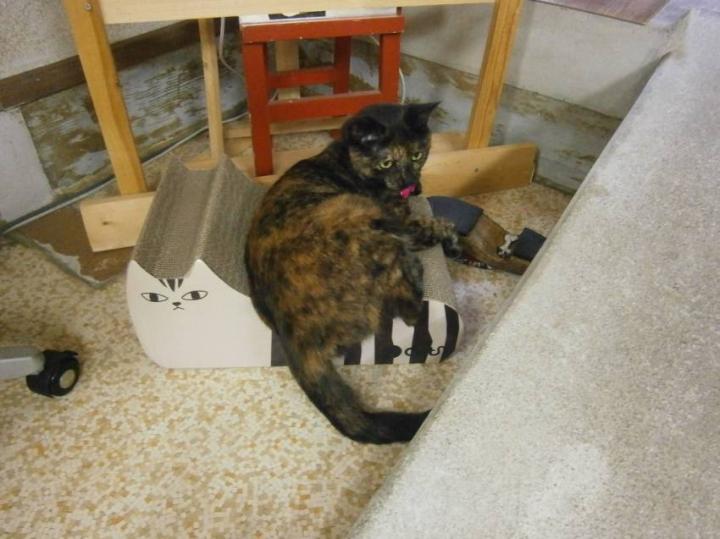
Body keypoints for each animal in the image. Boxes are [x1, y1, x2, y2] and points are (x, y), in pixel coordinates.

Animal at [245, 102, 459, 444]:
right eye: (386, 162)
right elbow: (439, 224)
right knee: (409, 310)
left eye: (417, 154)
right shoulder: (399, 219)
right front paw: (450, 239)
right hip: (357, 209)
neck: (347, 161)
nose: (408, 182)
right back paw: (415, 264)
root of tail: (291, 333)